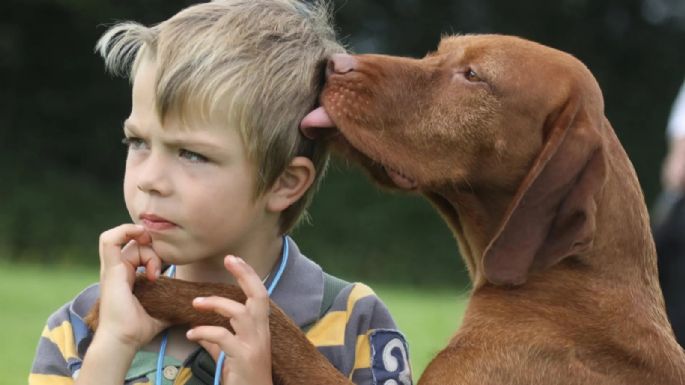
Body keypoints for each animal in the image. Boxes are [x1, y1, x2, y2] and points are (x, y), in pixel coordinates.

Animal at [88, 33, 684, 384]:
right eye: (439, 51)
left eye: (474, 76)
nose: (334, 63)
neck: (562, 283)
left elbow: (265, 315)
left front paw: (152, 293)